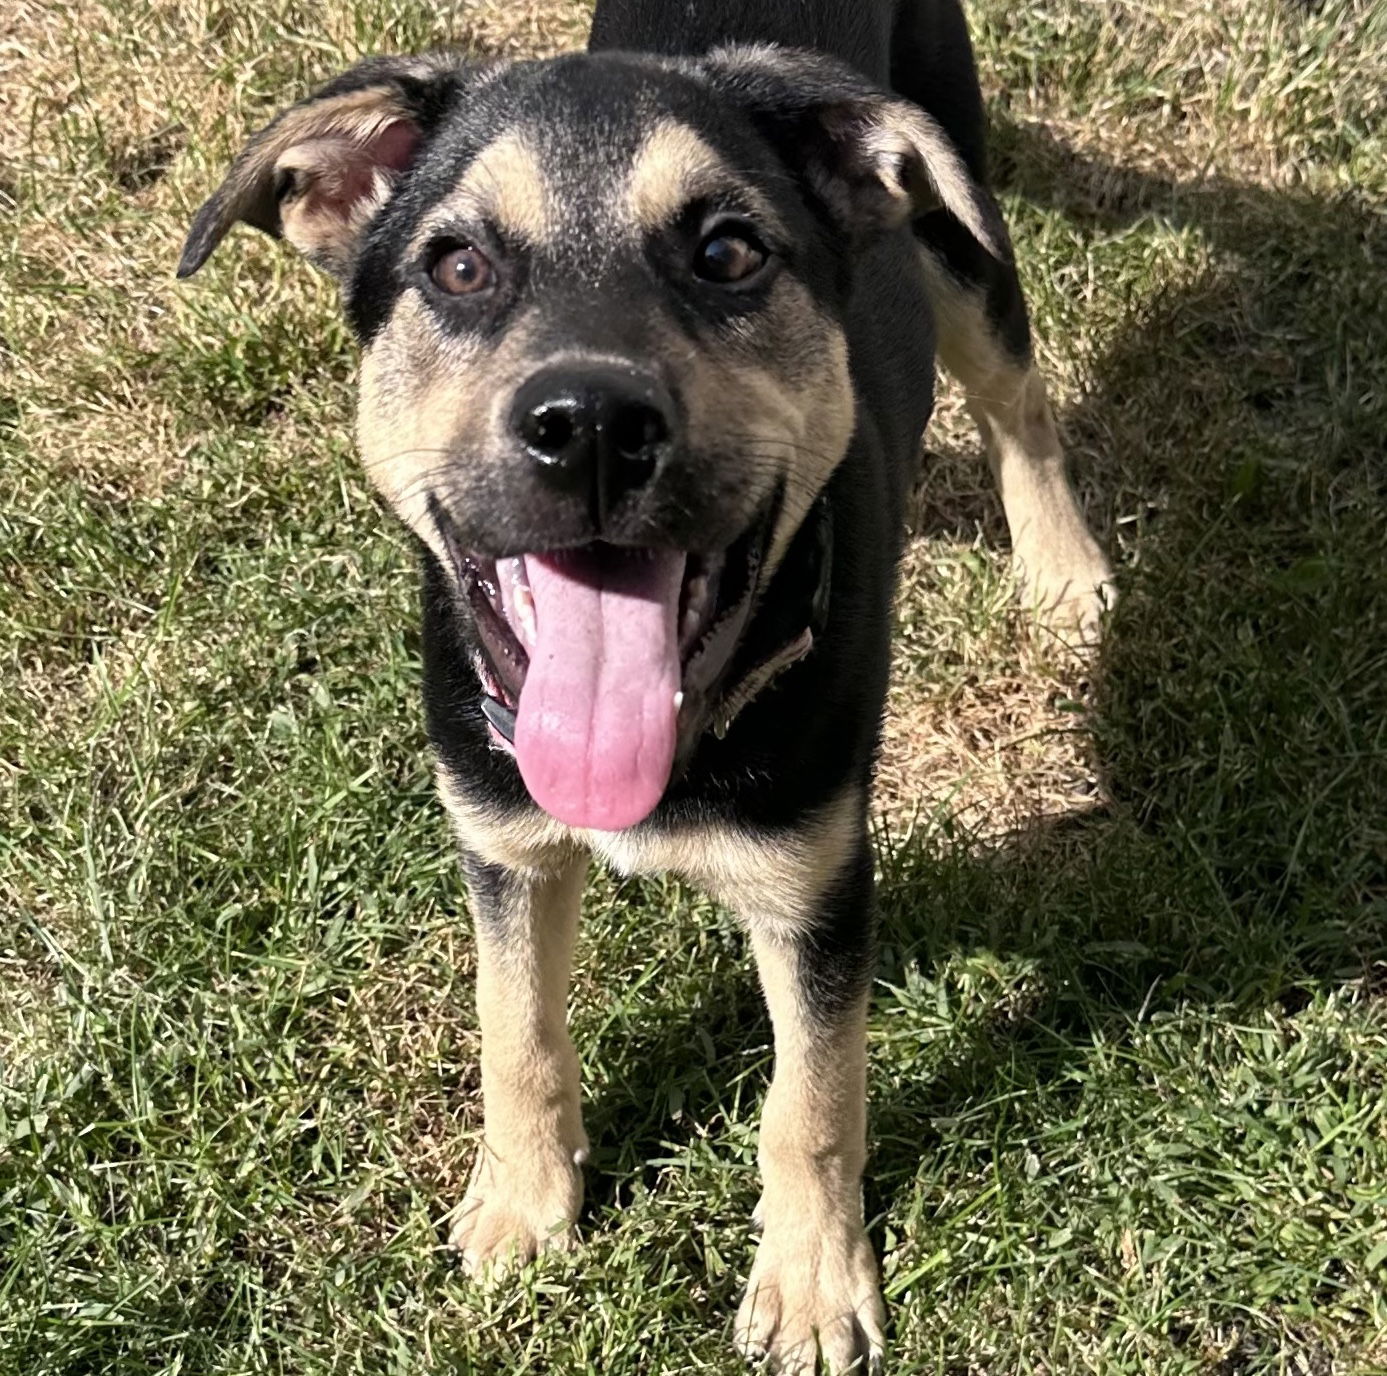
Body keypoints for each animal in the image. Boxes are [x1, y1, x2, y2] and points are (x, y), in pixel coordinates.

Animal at [181, 5, 1115, 1370]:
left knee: (1017, 398)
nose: (591, 422)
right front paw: (523, 1207)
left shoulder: (817, 877)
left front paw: (810, 1286)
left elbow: (811, 1096)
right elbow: (513, 1027)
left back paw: (1061, 565)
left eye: (729, 250)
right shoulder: (500, 839)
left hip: (961, 237)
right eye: (457, 266)